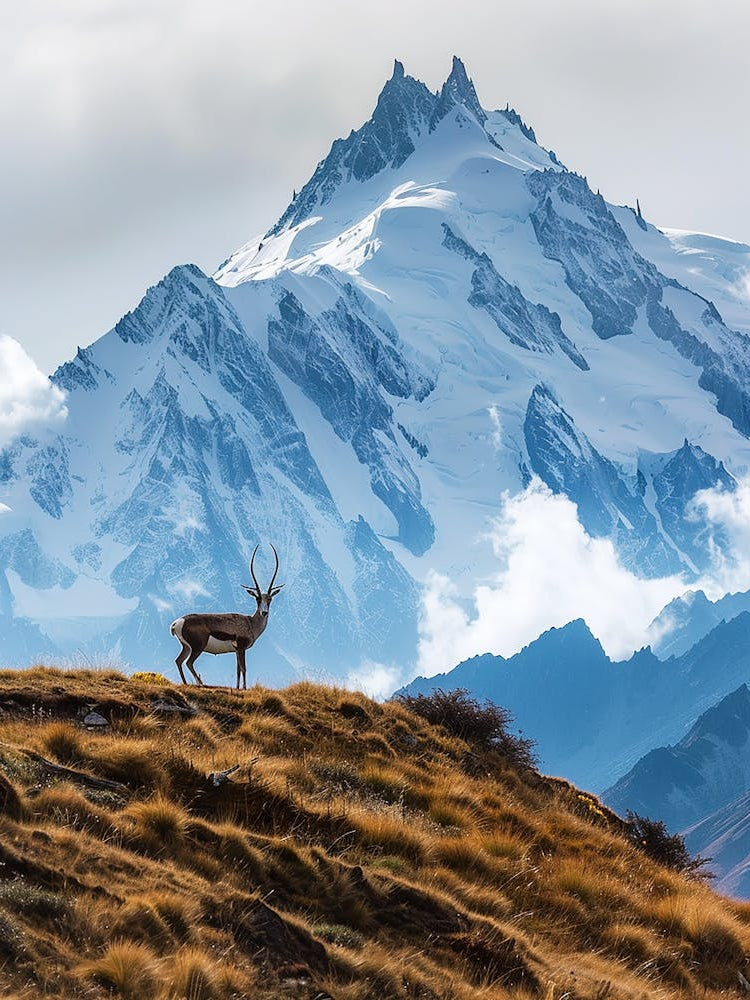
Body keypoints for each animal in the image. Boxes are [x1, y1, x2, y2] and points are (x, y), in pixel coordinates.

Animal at [170, 543, 284, 689]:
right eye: (258, 599)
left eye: (269, 599)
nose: (264, 612)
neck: (250, 623)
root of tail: (178, 622)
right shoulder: (241, 648)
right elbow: (244, 668)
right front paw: (244, 689)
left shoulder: (236, 650)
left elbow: (238, 670)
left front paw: (237, 688)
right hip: (197, 647)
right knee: (188, 662)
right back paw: (201, 683)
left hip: (186, 647)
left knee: (179, 661)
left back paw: (185, 683)